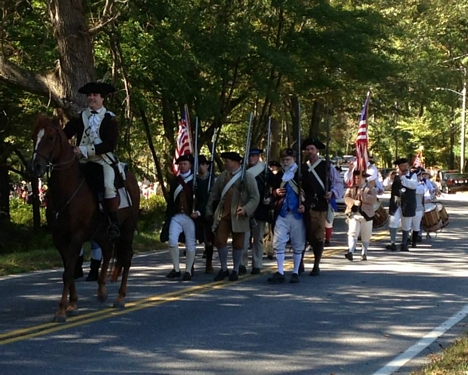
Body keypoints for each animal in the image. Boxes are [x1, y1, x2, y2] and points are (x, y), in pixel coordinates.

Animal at [31, 114, 140, 324]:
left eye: (50, 138)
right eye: (34, 137)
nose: (35, 166)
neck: (67, 190)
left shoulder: (76, 237)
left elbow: (68, 272)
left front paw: (61, 311)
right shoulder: (59, 238)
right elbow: (69, 270)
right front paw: (72, 304)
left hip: (127, 228)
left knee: (126, 257)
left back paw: (120, 297)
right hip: (101, 233)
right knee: (108, 251)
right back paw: (102, 291)